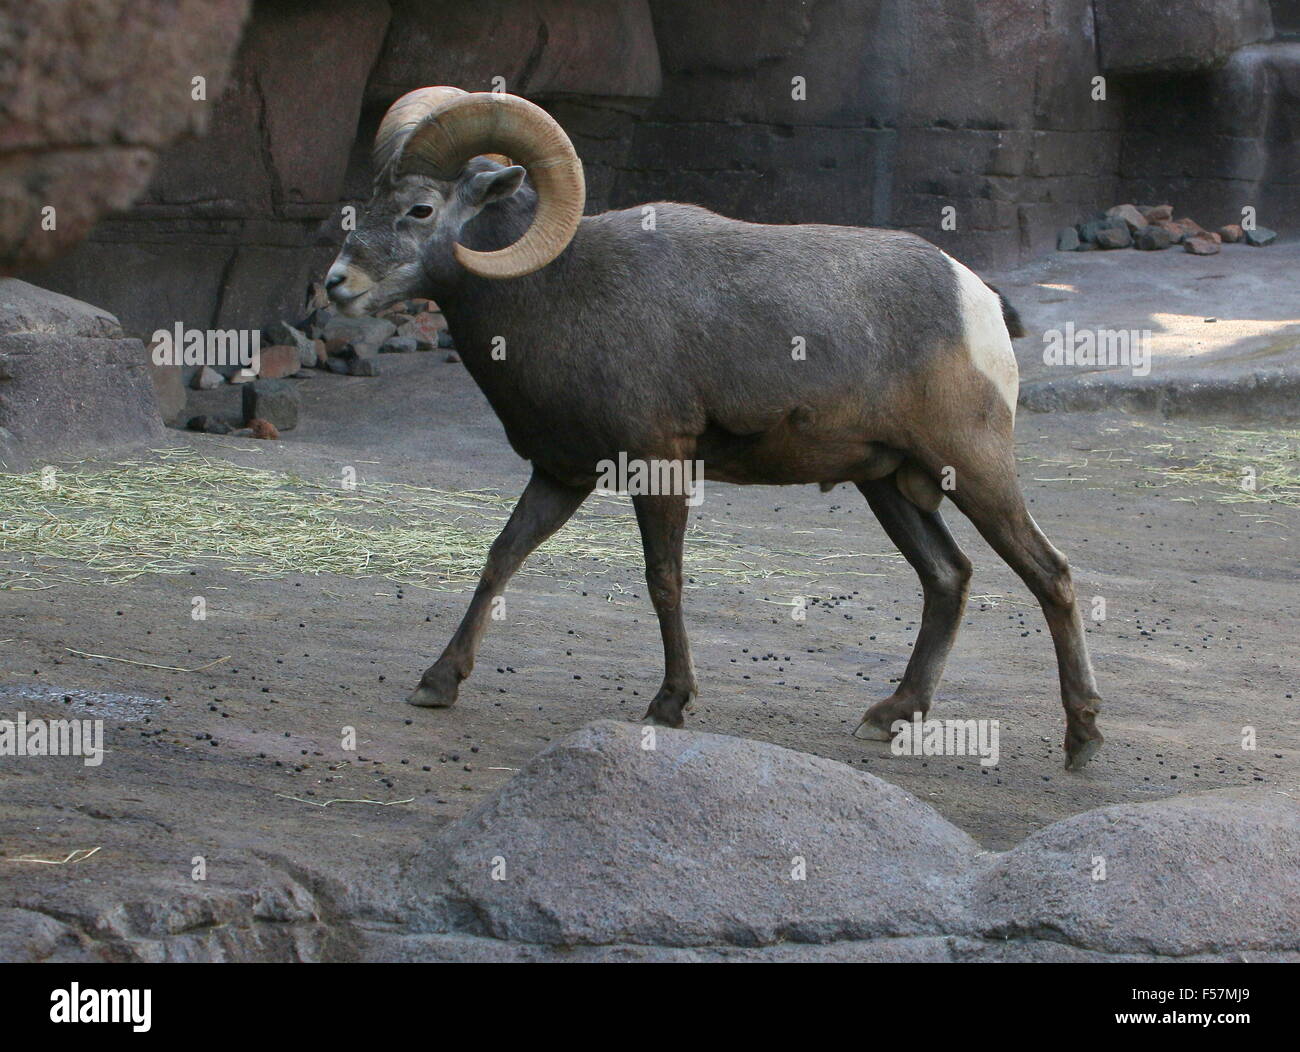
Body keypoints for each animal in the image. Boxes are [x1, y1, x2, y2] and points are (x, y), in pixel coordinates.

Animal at [327, 88, 1107, 764]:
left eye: (421, 208)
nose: (337, 284)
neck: (556, 293)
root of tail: (976, 300)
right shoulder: (560, 475)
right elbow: (501, 558)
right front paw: (437, 683)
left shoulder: (658, 464)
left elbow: (663, 579)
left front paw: (669, 704)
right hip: (887, 484)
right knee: (948, 577)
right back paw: (891, 717)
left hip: (972, 468)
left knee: (1051, 575)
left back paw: (1083, 739)